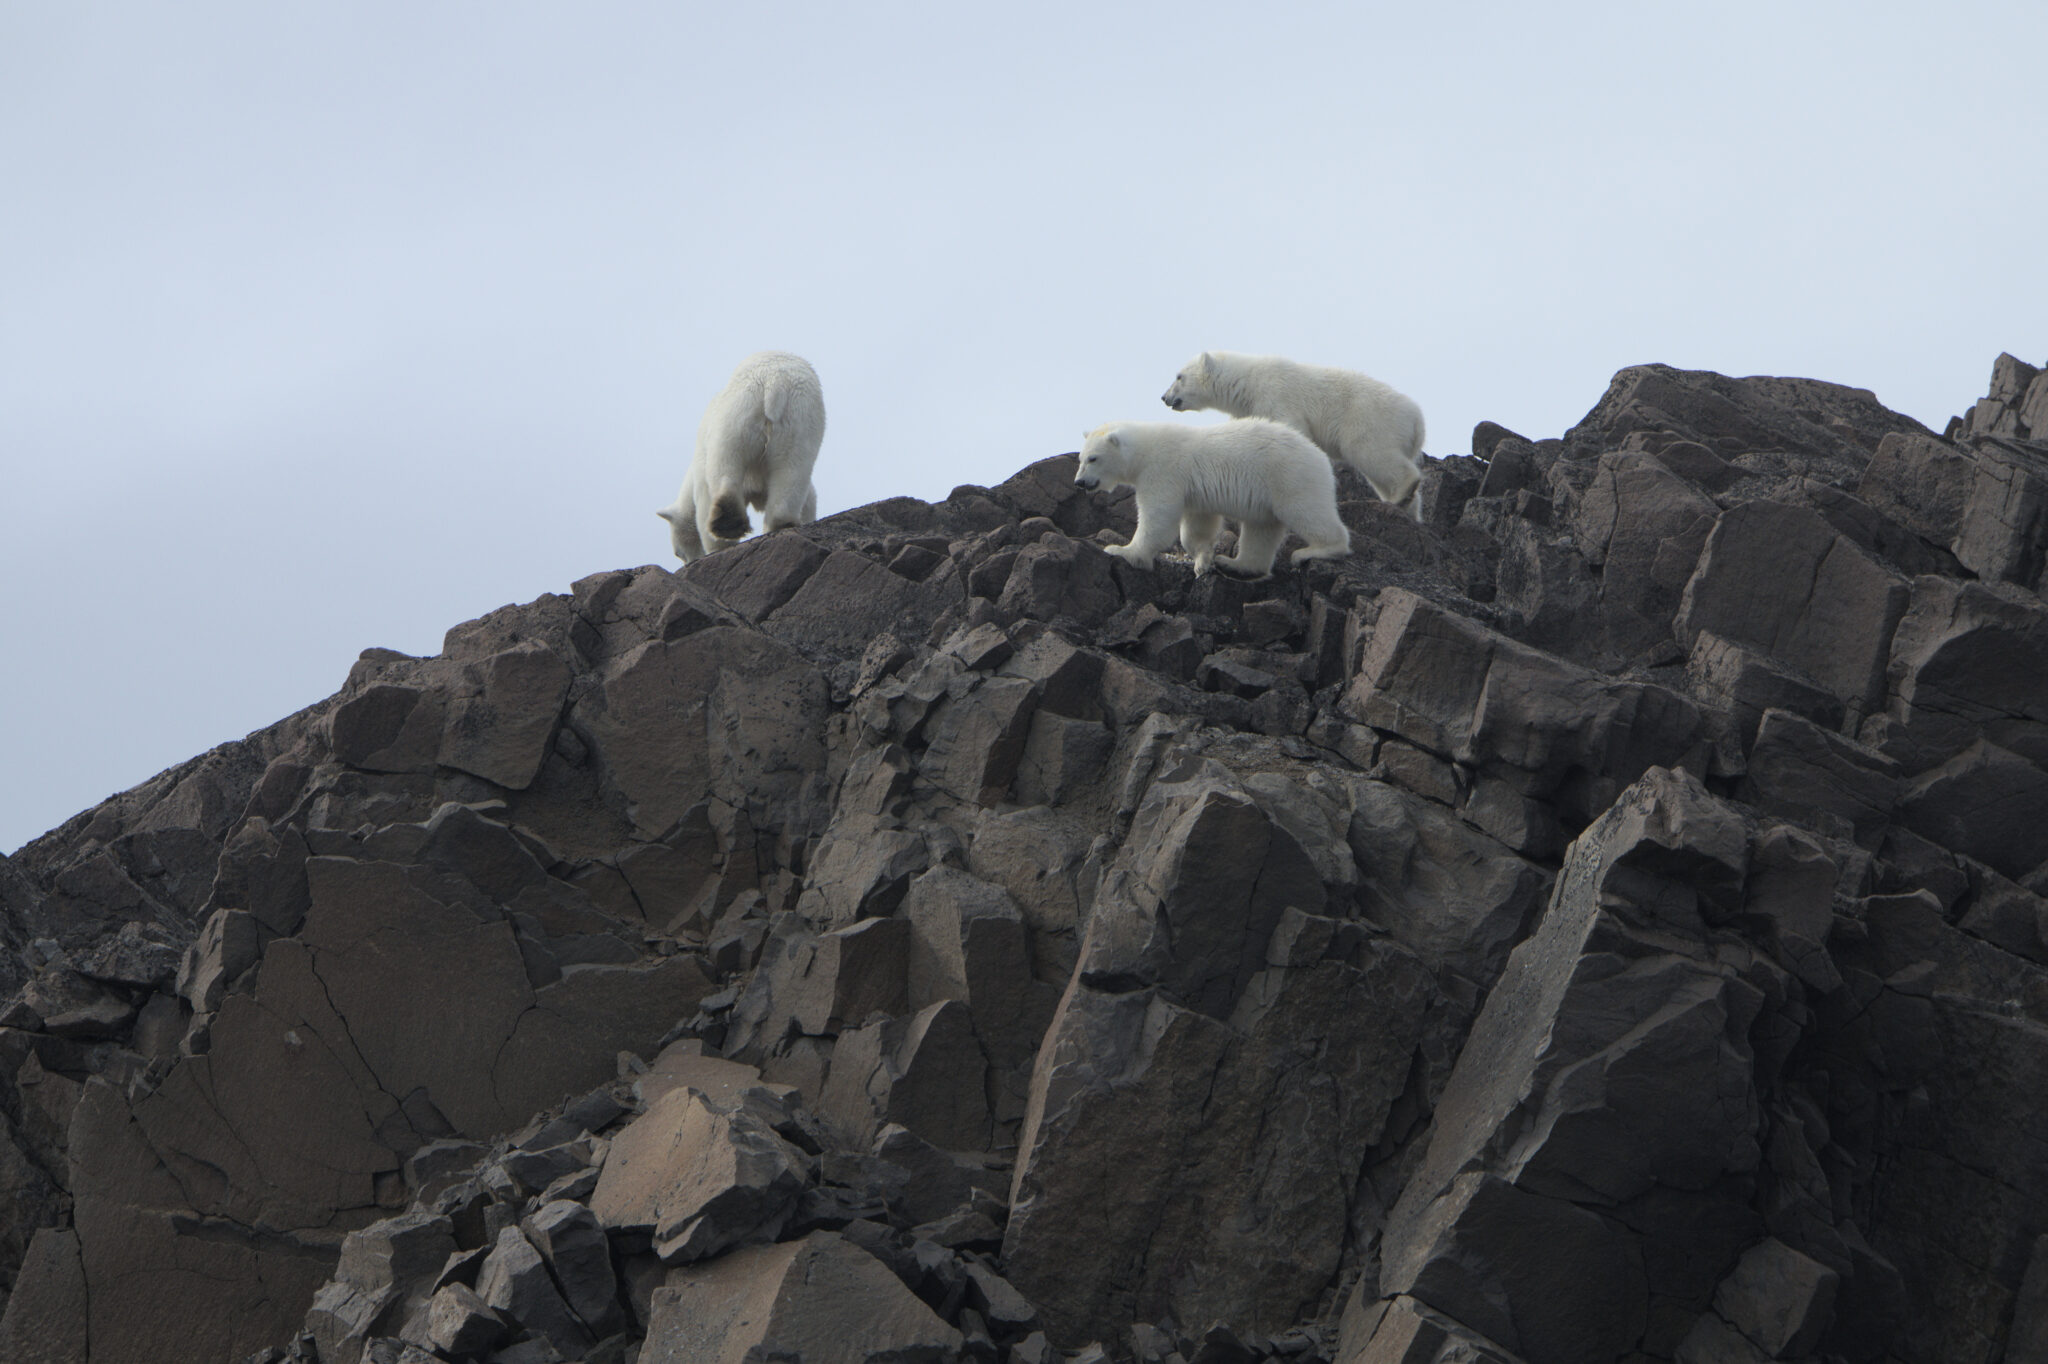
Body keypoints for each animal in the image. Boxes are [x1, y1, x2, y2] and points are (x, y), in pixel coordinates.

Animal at [651, 352, 819, 565]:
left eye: (677, 552)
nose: (690, 562)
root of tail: (775, 381)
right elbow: (808, 498)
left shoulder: (702, 460)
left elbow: (704, 498)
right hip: (799, 419)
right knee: (792, 469)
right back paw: (780, 523)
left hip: (738, 412)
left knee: (725, 465)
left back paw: (726, 526)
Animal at [1064, 413, 1351, 573]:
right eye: (1080, 458)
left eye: (1093, 458)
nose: (1079, 482)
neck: (1144, 449)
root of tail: (1320, 456)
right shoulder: (1193, 492)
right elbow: (1197, 524)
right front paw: (1204, 559)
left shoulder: (1163, 470)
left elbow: (1158, 516)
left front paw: (1123, 551)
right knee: (1261, 529)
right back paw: (1236, 564)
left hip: (1290, 476)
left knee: (1306, 511)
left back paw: (1315, 551)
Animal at [1163, 350, 1433, 520]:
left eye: (1179, 376)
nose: (1164, 397)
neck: (1247, 382)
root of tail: (1418, 420)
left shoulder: (1276, 395)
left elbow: (1292, 428)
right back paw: (1405, 507)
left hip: (1370, 420)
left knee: (1371, 454)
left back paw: (1402, 494)